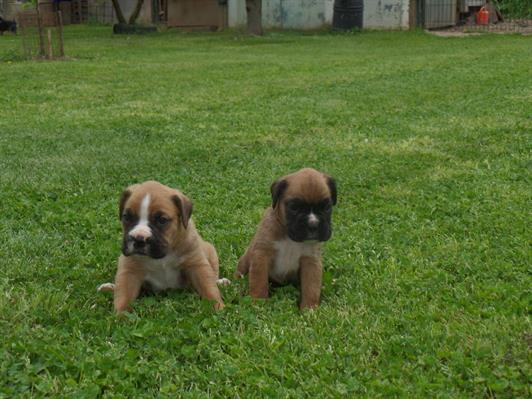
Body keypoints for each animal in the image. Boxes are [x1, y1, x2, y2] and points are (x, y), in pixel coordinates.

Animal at [97, 180, 229, 314]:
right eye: (127, 217)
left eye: (161, 220)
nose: (139, 238)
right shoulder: (129, 270)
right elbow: (123, 295)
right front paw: (121, 315)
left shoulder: (196, 265)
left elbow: (208, 287)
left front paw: (217, 307)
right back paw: (108, 287)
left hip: (211, 251)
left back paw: (221, 282)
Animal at [236, 167, 336, 310]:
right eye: (294, 207)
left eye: (327, 207)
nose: (313, 224)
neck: (289, 237)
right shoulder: (261, 256)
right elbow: (259, 282)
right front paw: (258, 302)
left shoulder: (311, 262)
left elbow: (311, 287)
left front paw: (309, 309)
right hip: (244, 261)